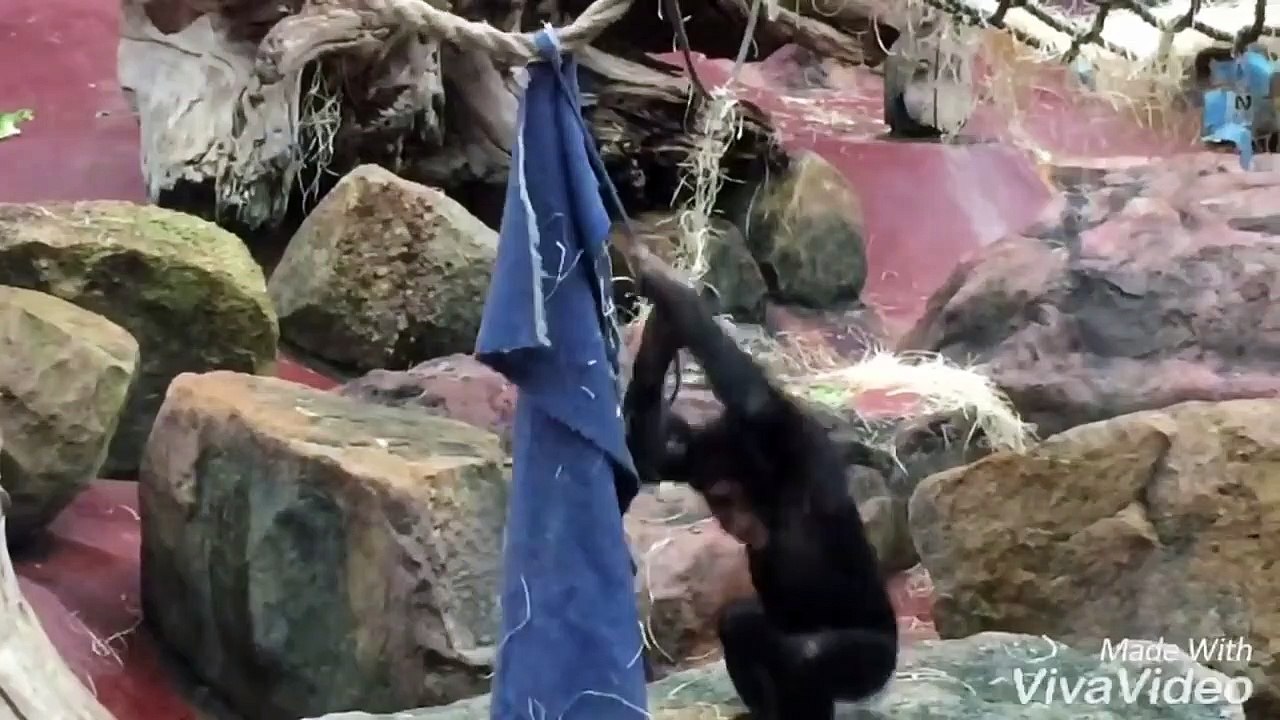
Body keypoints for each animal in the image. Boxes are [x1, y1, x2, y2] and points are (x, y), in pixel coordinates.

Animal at [622, 266, 899, 720]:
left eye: (725, 496)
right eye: (715, 501)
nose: (729, 519)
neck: (770, 491)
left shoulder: (784, 431)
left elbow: (754, 400)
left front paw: (668, 289)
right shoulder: (692, 455)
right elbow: (651, 456)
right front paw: (659, 328)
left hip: (876, 663)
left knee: (804, 657)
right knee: (741, 623)